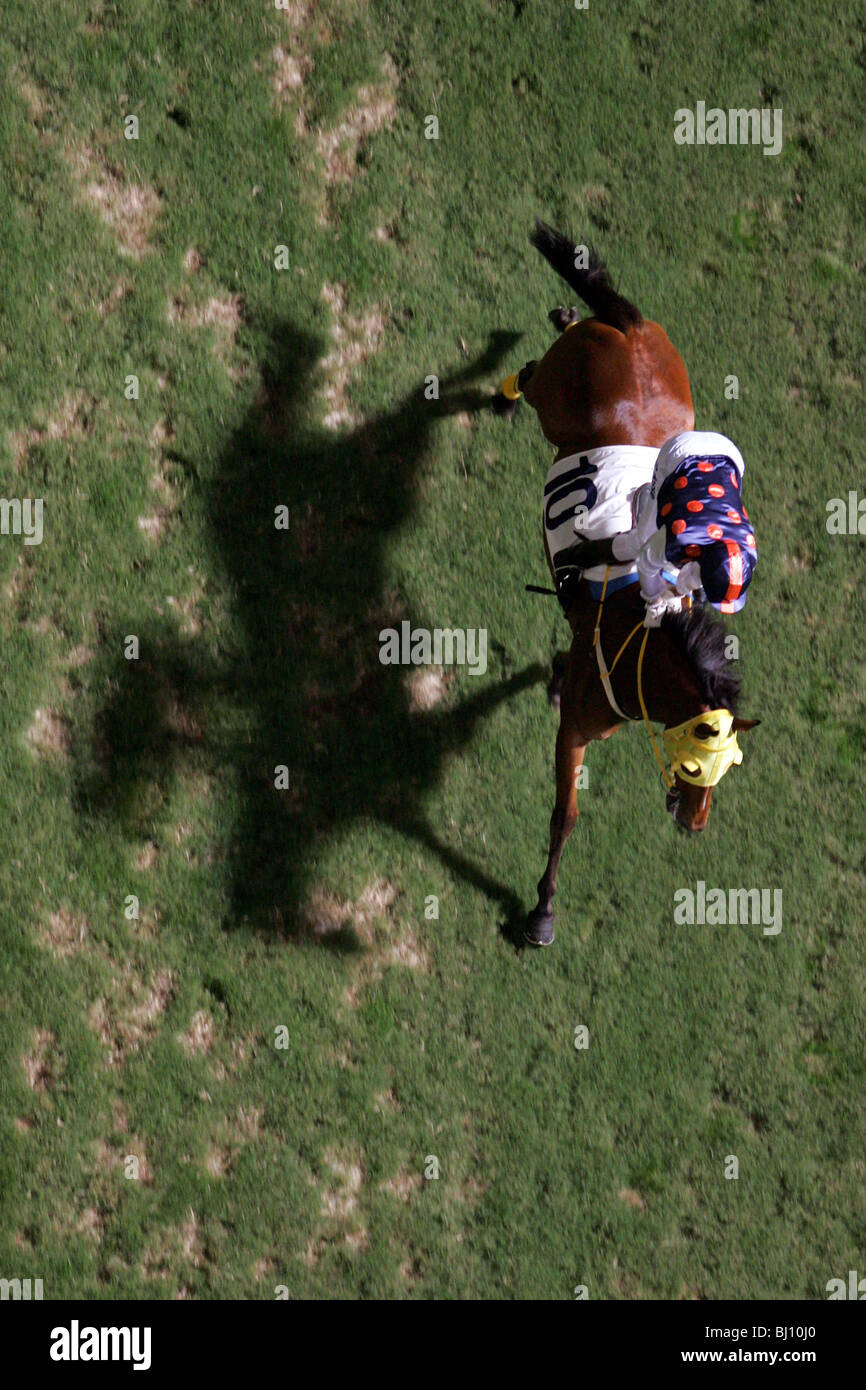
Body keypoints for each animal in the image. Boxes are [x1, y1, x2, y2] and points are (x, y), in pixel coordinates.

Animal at [494, 225, 756, 945]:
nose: (695, 823)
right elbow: (565, 815)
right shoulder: (576, 734)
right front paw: (542, 909)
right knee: (533, 374)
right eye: (695, 767)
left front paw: (553, 673)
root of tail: (633, 330)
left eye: (729, 770)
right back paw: (503, 389)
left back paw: (565, 312)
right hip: (553, 401)